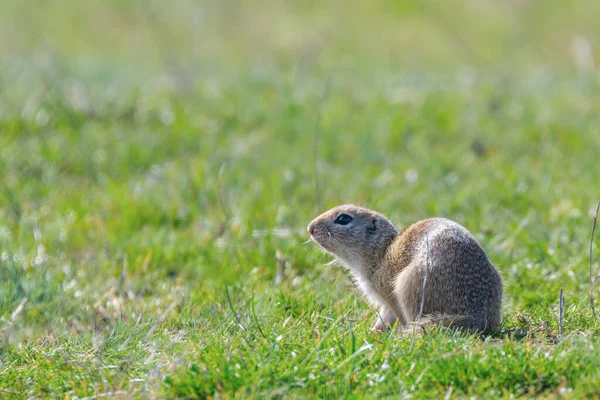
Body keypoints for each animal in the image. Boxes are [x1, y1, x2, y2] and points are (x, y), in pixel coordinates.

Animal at [310, 205, 502, 332]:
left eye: (343, 219)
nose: (310, 228)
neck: (381, 252)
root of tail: (476, 314)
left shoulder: (387, 295)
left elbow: (387, 317)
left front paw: (372, 332)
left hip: (408, 286)